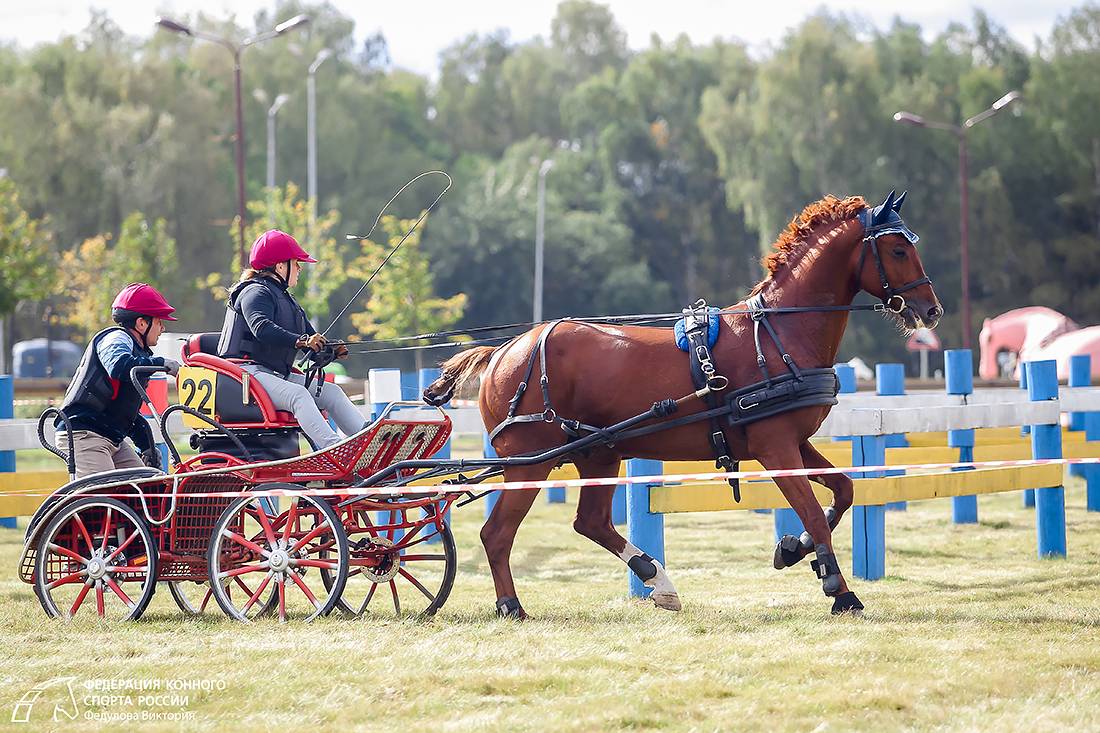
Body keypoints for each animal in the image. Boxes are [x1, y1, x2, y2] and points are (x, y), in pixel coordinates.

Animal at [424, 191, 941, 611]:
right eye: (898, 249)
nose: (932, 310)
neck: (779, 332)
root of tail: (506, 350)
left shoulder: (794, 442)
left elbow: (844, 492)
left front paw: (794, 550)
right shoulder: (775, 447)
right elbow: (813, 511)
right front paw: (839, 589)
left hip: (598, 454)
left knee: (590, 522)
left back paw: (658, 581)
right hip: (531, 462)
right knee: (497, 534)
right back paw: (511, 604)